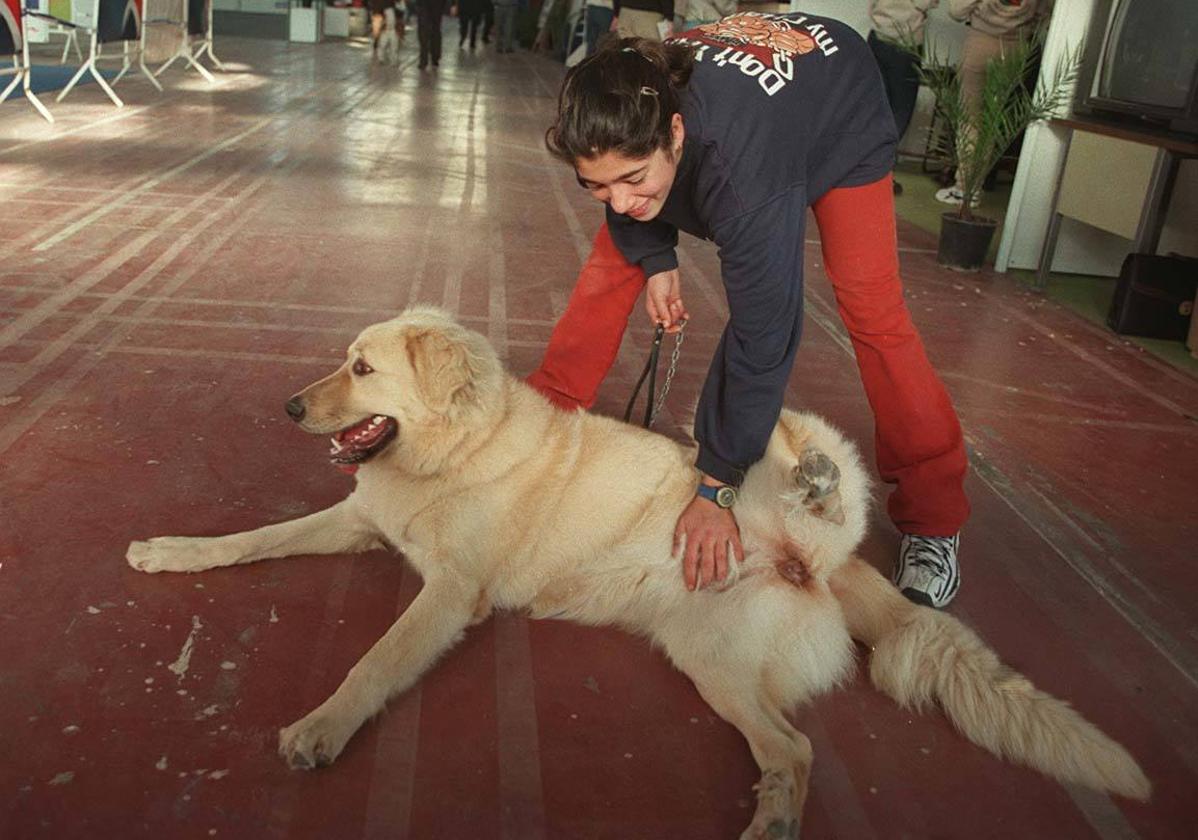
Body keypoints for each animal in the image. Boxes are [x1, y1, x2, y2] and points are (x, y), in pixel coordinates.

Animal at [126, 304, 1145, 834]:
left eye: (362, 369)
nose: (289, 408)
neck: (457, 450)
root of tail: (824, 565)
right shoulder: (355, 523)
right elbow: (252, 539)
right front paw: (169, 550)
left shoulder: (449, 596)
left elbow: (372, 663)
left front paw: (322, 728)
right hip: (711, 662)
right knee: (789, 748)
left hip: (743, 594)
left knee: (804, 717)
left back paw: (805, 469)